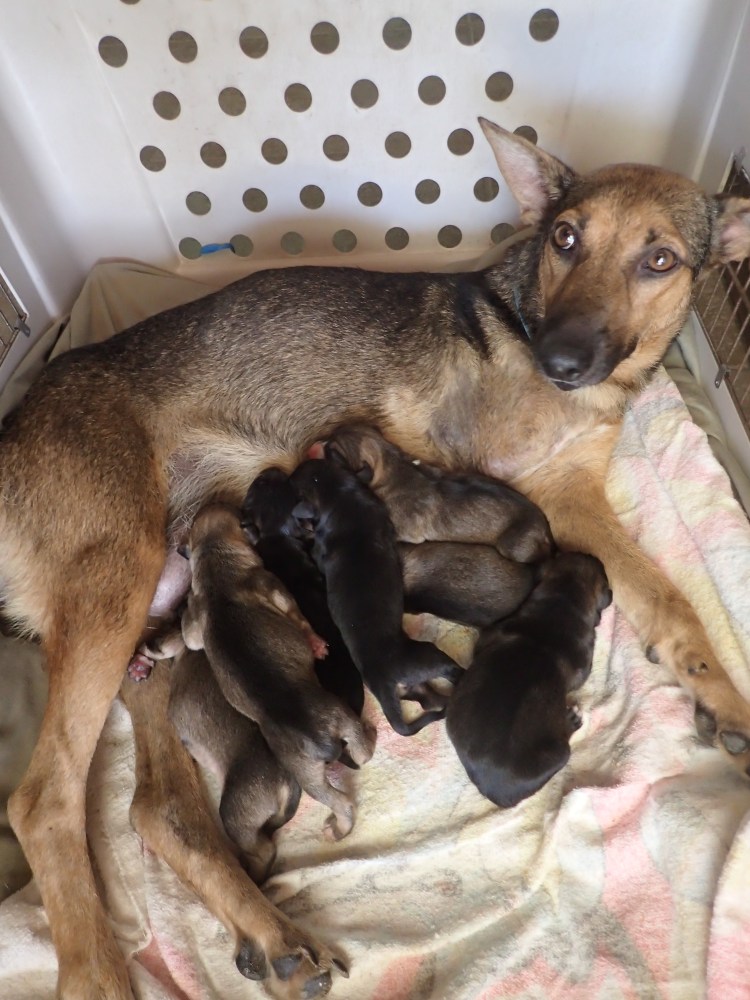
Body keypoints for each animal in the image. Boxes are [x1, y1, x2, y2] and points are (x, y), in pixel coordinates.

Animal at [180, 503, 374, 842]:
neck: (213, 559)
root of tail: (319, 741)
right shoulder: (272, 585)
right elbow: (296, 614)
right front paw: (315, 643)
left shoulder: (196, 629)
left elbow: (190, 636)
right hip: (343, 722)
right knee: (362, 754)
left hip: (308, 774)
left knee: (338, 800)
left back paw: (339, 827)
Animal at [289, 458, 464, 735]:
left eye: (313, 464)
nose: (291, 473)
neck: (339, 494)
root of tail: (384, 685)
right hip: (429, 658)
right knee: (451, 676)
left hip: (421, 680)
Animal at [326, 424, 553, 563]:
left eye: (335, 452)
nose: (324, 443)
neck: (393, 463)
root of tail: (545, 527)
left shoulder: (405, 532)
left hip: (512, 547)